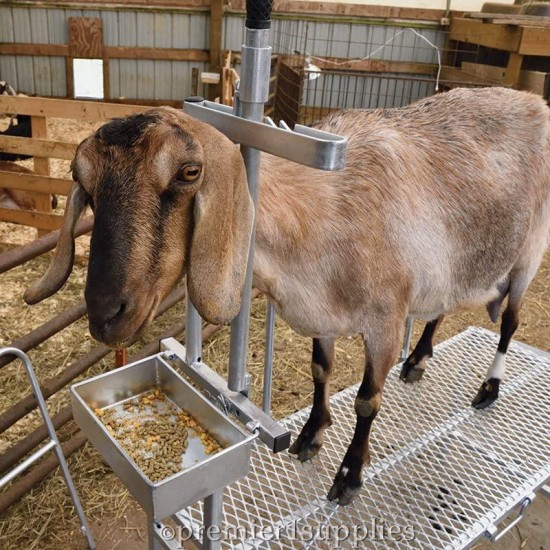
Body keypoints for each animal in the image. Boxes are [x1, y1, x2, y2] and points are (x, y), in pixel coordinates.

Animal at [23, 88, 550, 506]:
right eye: (85, 183)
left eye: (190, 172)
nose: (105, 314)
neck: (321, 214)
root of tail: (533, 99)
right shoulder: (324, 316)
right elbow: (321, 371)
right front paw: (311, 436)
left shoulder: (385, 318)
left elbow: (367, 402)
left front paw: (348, 476)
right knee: (443, 305)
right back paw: (418, 360)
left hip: (528, 253)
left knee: (510, 323)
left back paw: (488, 388)